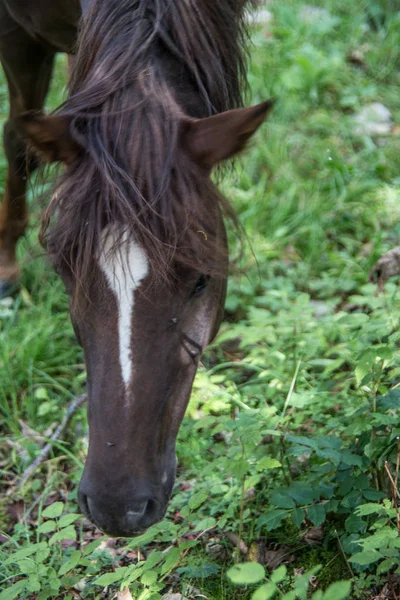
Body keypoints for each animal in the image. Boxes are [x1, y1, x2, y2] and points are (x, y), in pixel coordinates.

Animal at [0, 0, 274, 536]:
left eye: (201, 281)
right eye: (63, 274)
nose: (118, 507)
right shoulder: (17, 33)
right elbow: (18, 139)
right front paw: (5, 267)